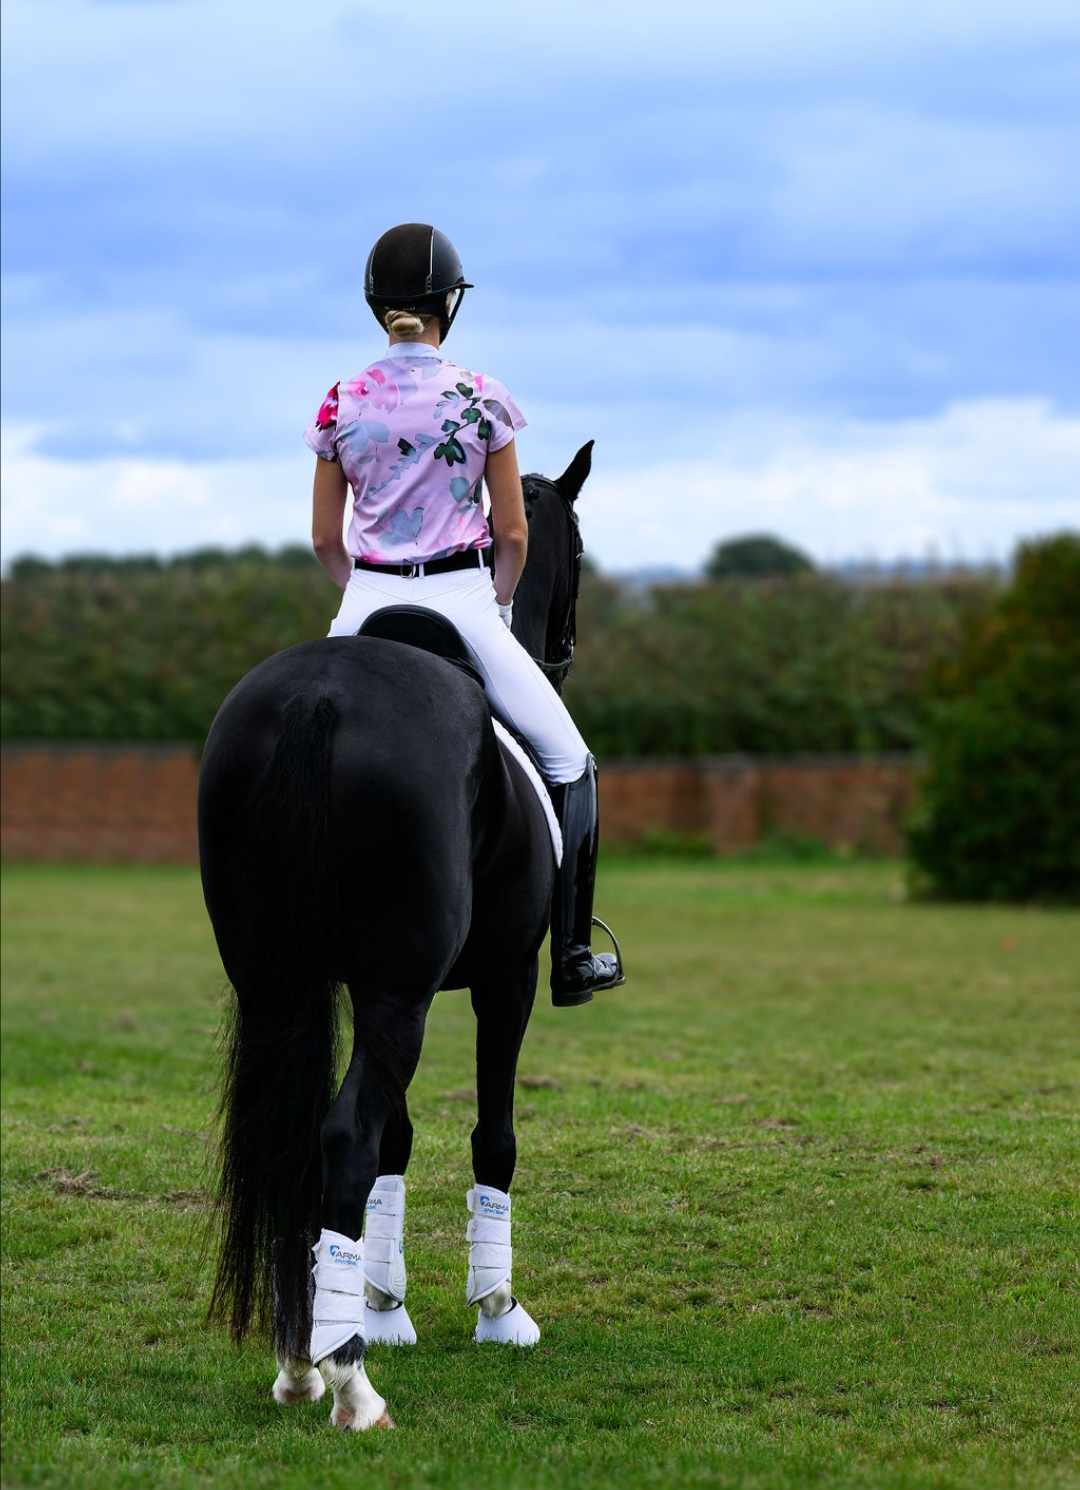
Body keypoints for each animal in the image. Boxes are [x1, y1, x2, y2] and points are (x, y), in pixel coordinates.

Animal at [198, 438, 592, 1430]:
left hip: (281, 980)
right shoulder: (499, 980)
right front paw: (497, 1310)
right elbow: (492, 1133)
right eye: (578, 550)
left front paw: (381, 1307)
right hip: (401, 992)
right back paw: (344, 1382)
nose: (564, 651)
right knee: (343, 1138)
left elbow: (400, 1140)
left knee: (306, 1142)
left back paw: (303, 1357)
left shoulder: (366, 984)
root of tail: (319, 701)